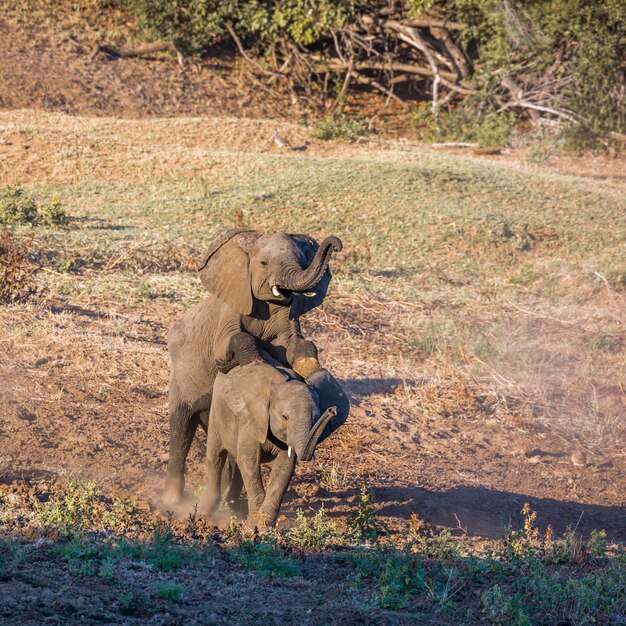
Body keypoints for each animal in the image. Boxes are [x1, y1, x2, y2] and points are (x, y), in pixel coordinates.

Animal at [163, 227, 344, 504]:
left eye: (301, 261)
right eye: (263, 264)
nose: (336, 244)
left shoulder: (289, 318)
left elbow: (299, 346)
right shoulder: (231, 306)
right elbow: (231, 342)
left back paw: (232, 503)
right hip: (182, 377)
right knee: (182, 429)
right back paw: (172, 502)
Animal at [201, 358, 348, 524]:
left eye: (316, 417)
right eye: (285, 417)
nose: (332, 410)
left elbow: (284, 467)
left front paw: (263, 525)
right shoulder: (253, 419)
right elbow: (249, 461)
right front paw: (252, 526)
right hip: (216, 409)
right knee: (216, 457)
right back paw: (206, 513)